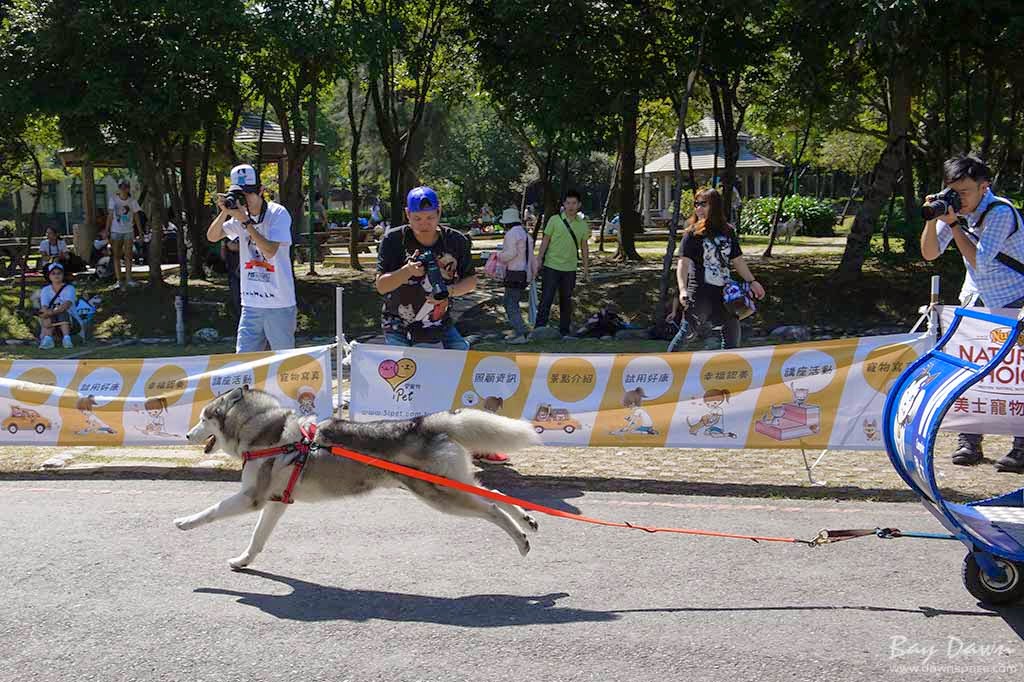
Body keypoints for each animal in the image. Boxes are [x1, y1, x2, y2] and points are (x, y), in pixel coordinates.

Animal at [176, 382, 544, 569]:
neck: (267, 431)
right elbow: (257, 538)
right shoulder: (277, 502)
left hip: (441, 496)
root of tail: (421, 422)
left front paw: (185, 523)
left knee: (492, 509)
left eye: (204, 418)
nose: (186, 434)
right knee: (498, 495)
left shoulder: (251, 498)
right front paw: (243, 560)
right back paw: (527, 521)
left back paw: (521, 540)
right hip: (455, 484)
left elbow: (212, 511)